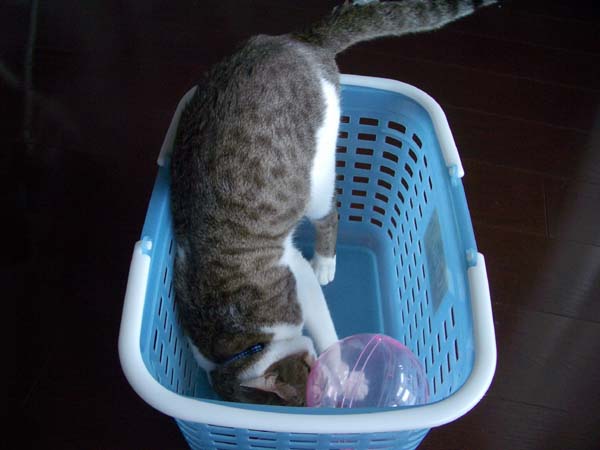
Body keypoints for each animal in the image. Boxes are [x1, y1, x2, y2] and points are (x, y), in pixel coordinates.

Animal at [170, 0, 496, 406]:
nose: (313, 397)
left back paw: (326, 261)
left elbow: (328, 337)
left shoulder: (296, 279)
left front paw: (341, 376)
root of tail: (297, 40)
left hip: (319, 171)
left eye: (309, 375)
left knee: (330, 213)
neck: (236, 343)